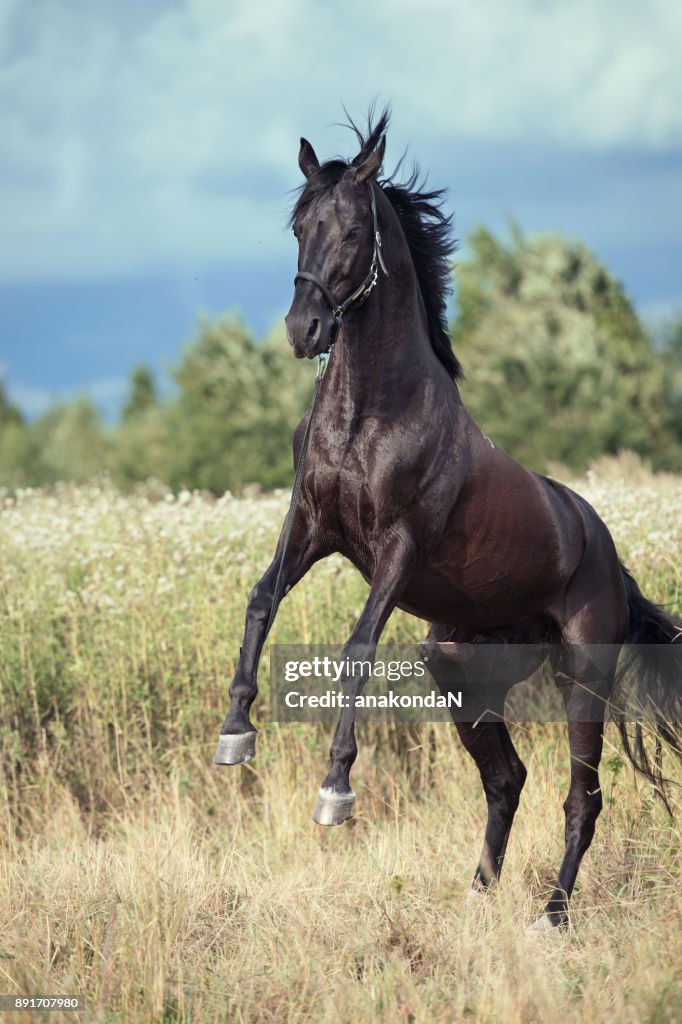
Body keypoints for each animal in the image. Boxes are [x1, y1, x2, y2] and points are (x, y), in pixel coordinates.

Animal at [214, 110, 682, 930]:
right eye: (299, 225)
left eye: (351, 230)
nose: (305, 331)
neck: (371, 410)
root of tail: (604, 551)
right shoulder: (311, 526)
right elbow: (262, 599)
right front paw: (235, 733)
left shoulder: (399, 547)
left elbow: (356, 646)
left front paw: (335, 791)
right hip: (459, 670)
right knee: (508, 778)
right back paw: (477, 895)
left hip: (582, 677)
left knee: (582, 798)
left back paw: (550, 917)